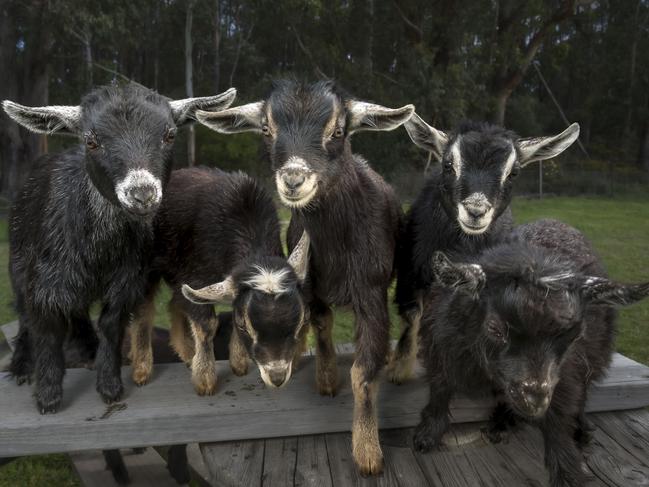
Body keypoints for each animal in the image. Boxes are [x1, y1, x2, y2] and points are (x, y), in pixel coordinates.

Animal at [2, 83, 235, 412]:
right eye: (91, 140)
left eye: (170, 135)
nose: (142, 194)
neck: (98, 249)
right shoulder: (45, 283)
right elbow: (46, 332)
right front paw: (48, 397)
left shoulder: (126, 281)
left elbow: (111, 326)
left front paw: (109, 386)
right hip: (18, 262)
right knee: (24, 314)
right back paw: (22, 366)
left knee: (78, 312)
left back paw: (88, 348)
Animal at [130, 167, 310, 392]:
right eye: (244, 326)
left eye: (302, 321)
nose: (277, 377)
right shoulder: (196, 275)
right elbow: (206, 324)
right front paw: (205, 380)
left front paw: (238, 363)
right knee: (144, 310)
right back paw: (142, 370)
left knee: (175, 302)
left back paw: (187, 353)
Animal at [195, 81, 412, 476]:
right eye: (267, 129)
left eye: (338, 131)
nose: (294, 179)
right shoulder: (309, 290)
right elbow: (321, 327)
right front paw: (325, 380)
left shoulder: (371, 293)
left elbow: (363, 372)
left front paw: (368, 453)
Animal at [388, 115, 580, 386]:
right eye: (448, 164)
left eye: (513, 173)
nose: (476, 211)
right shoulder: (412, 270)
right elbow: (412, 315)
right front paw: (399, 370)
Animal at [412, 220, 648, 487]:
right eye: (494, 327)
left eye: (575, 334)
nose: (535, 400)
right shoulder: (441, 349)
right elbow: (440, 389)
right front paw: (427, 436)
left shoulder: (564, 374)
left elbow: (559, 419)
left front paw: (567, 474)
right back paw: (501, 423)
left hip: (597, 352)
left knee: (584, 392)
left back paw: (577, 428)